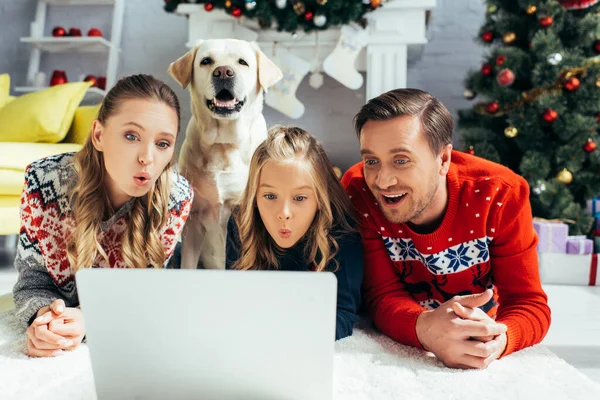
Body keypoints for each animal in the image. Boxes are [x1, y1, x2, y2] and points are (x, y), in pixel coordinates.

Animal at [168, 39, 282, 270]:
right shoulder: (194, 218)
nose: (223, 72)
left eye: (242, 62)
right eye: (206, 61)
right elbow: (188, 263)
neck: (224, 145)